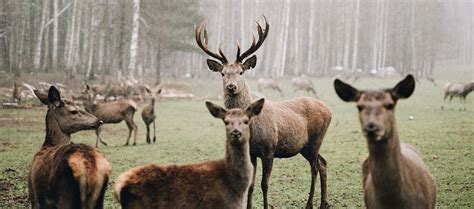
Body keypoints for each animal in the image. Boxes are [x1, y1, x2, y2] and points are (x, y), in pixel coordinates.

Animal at [194, 18, 332, 209]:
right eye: (223, 73)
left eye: (241, 72)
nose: (231, 87)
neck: (252, 129)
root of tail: (329, 109)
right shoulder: (252, 152)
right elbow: (251, 185)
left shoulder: (269, 148)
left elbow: (264, 184)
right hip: (305, 146)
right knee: (323, 163)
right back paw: (323, 203)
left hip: (315, 140)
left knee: (315, 168)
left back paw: (310, 204)